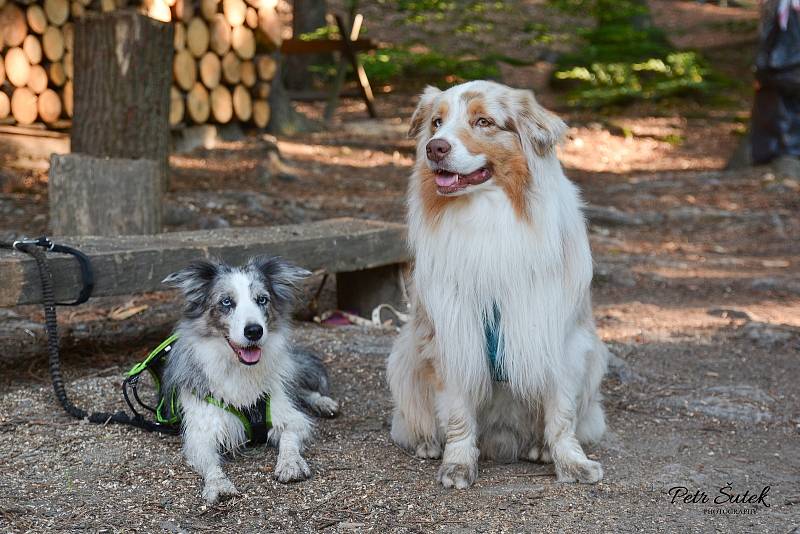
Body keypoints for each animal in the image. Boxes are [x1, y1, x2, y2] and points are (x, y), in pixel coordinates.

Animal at [161, 258, 340, 504]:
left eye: (262, 299)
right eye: (226, 302)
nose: (254, 331)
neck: (240, 369)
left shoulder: (289, 415)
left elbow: (289, 437)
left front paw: (290, 463)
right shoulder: (201, 433)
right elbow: (210, 463)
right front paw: (218, 484)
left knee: (299, 390)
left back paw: (323, 402)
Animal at [388, 80, 608, 490]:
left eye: (483, 122)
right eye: (437, 122)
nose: (434, 147)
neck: (486, 215)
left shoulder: (557, 334)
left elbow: (562, 413)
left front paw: (571, 462)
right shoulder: (453, 333)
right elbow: (458, 414)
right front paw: (458, 464)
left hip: (595, 360)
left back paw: (539, 448)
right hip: (404, 356)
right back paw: (428, 443)